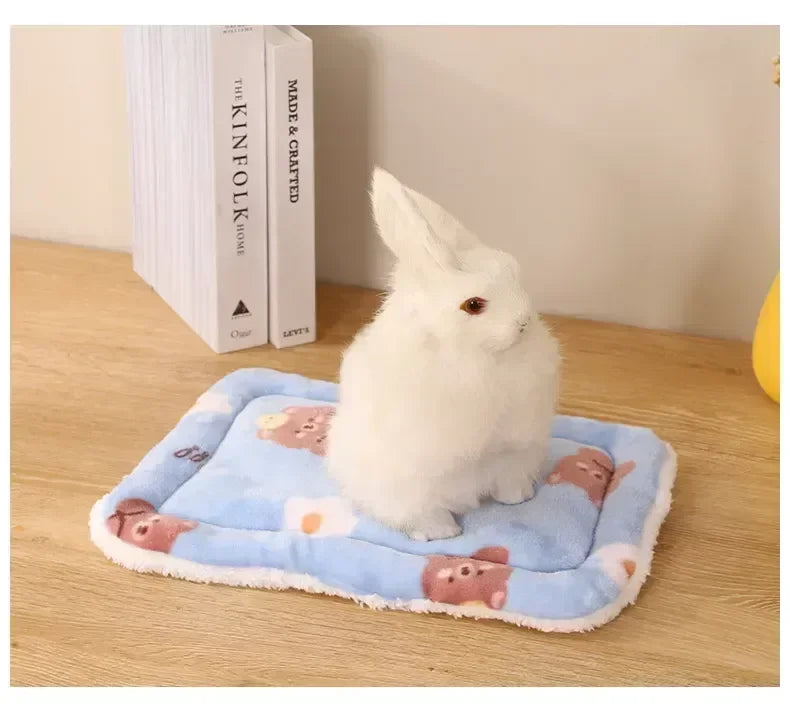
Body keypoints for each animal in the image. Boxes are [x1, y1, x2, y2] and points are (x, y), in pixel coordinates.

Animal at [326, 168, 561, 541]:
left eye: (515, 272)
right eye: (474, 305)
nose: (523, 322)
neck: (479, 356)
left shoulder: (514, 449)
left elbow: (507, 472)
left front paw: (517, 498)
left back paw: (516, 498)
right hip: (402, 484)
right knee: (419, 512)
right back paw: (444, 533)